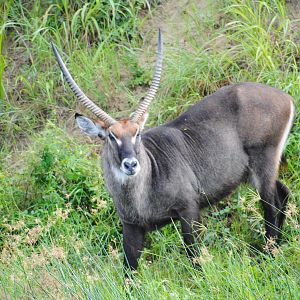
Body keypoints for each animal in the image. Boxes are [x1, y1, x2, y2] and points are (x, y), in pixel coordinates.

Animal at [51, 31, 292, 272]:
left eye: (137, 132)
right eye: (111, 136)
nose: (131, 164)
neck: (142, 192)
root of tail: (285, 97)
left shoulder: (189, 210)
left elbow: (194, 256)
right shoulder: (130, 226)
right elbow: (129, 268)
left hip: (263, 163)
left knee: (272, 204)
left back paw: (269, 255)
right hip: (253, 172)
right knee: (283, 193)